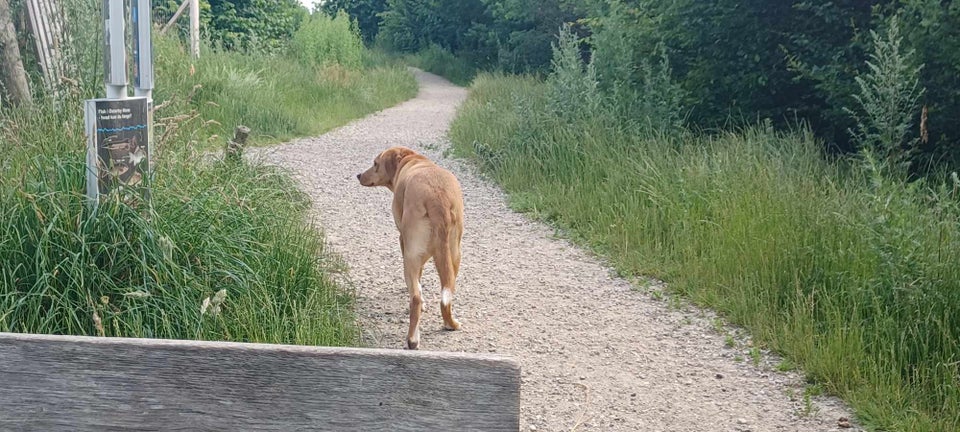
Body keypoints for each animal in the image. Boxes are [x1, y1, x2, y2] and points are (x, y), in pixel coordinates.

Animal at [360, 147, 464, 350]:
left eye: (375, 163)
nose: (358, 175)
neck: (412, 160)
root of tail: (438, 199)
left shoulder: (404, 241)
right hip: (454, 255)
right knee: (446, 297)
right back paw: (450, 324)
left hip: (411, 256)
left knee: (416, 297)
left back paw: (412, 340)